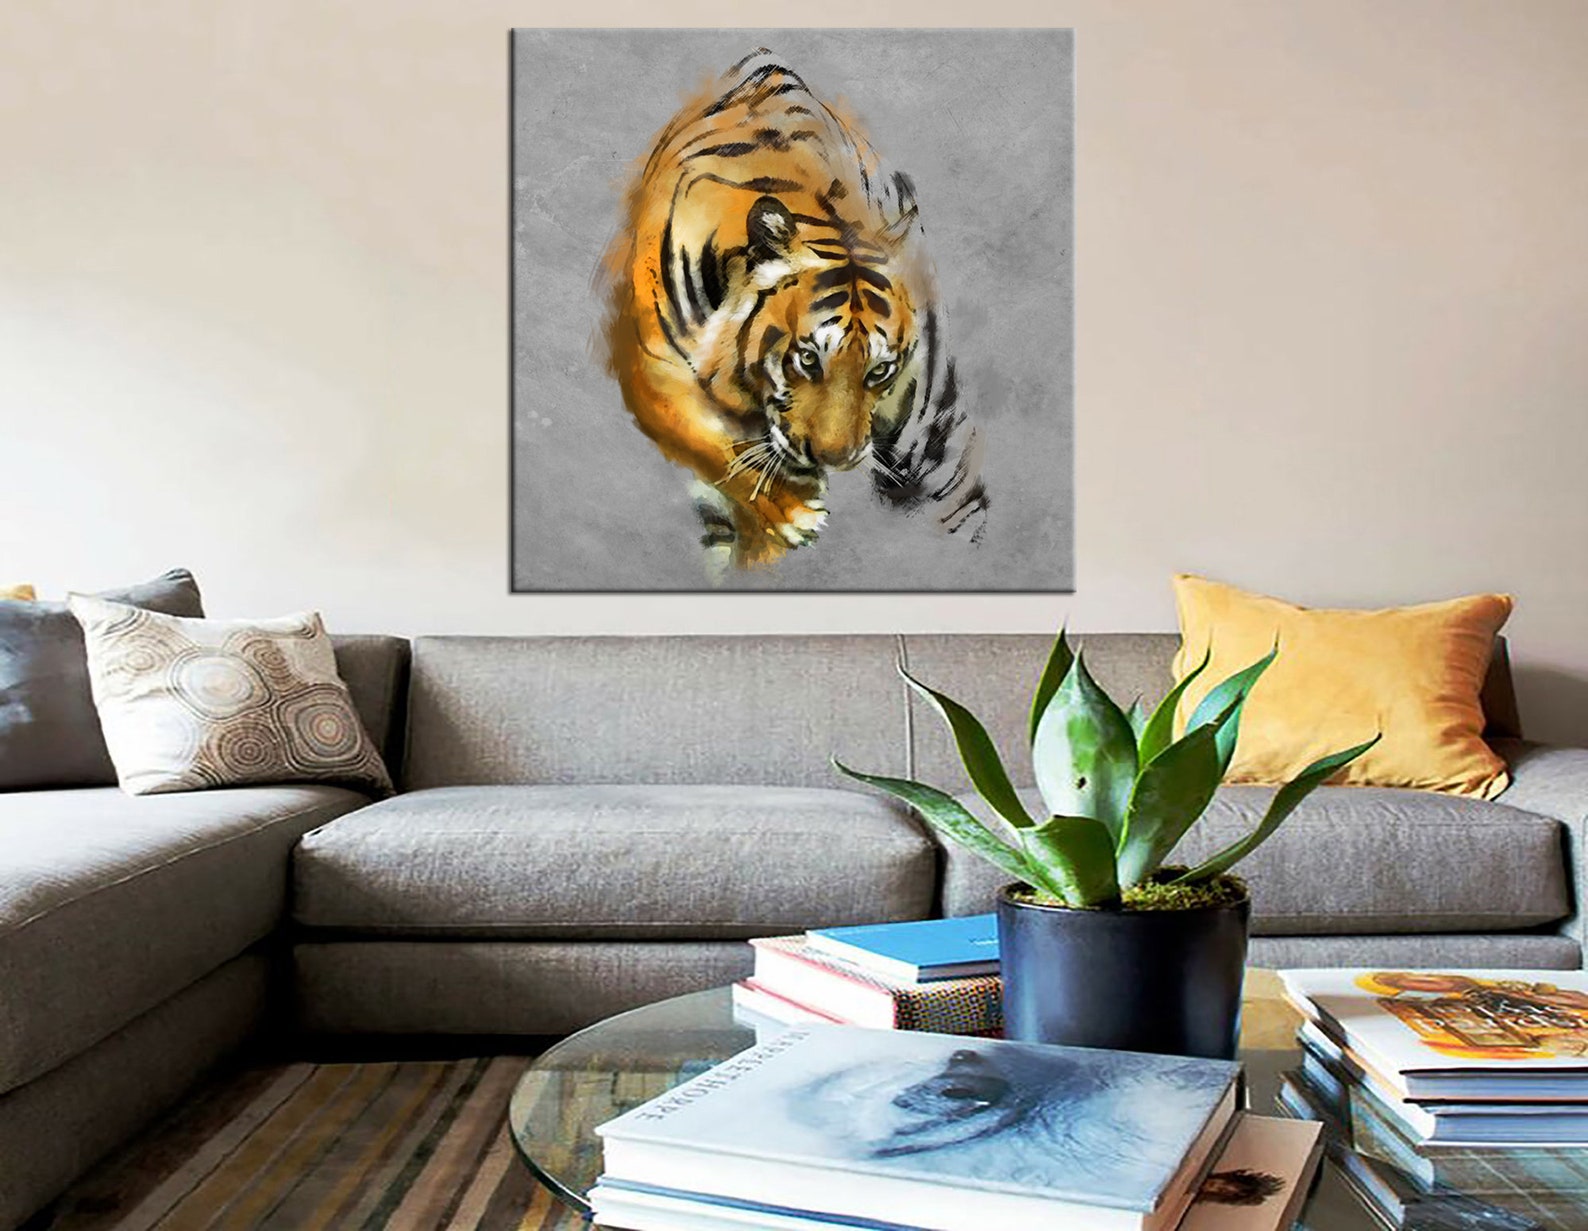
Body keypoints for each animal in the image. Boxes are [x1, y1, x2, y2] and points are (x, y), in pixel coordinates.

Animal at [599, 49, 988, 576]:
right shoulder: (652, 368)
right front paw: (792, 509)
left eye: (880, 370)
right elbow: (712, 445)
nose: (836, 459)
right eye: (807, 359)